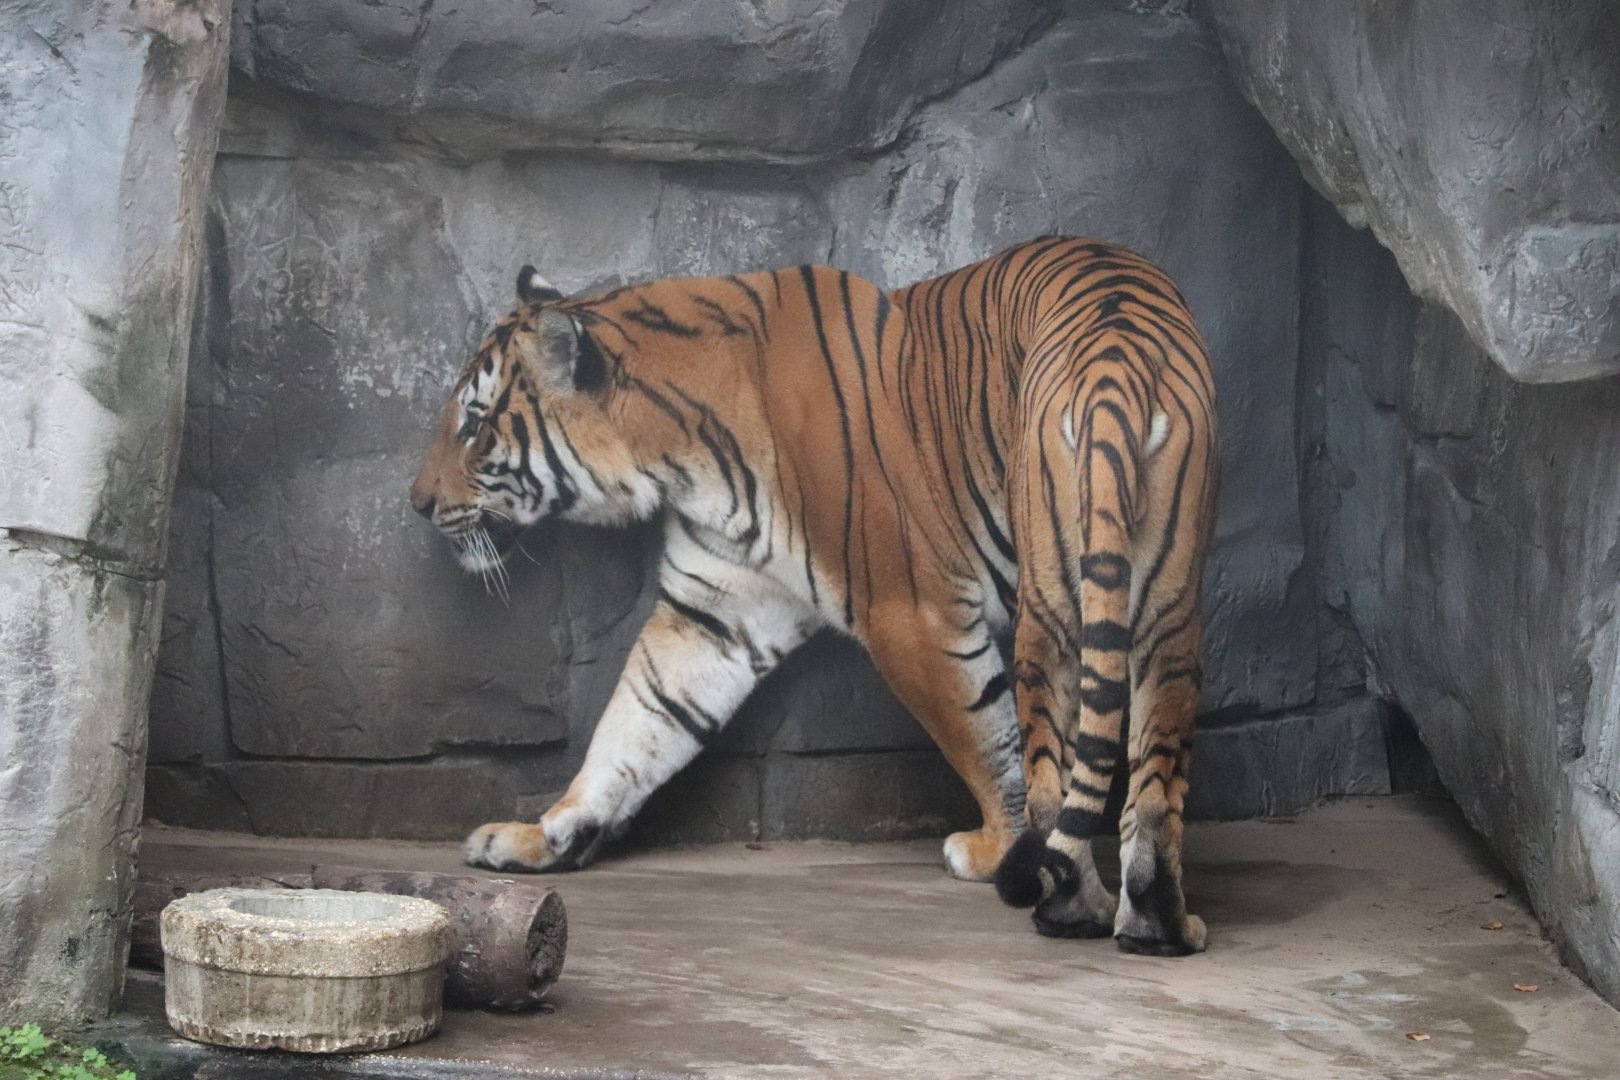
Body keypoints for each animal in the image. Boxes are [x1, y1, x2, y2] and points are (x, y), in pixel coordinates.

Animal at [409, 237, 1217, 955]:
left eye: (474, 425)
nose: (417, 503)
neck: (678, 455)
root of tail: (1118, 355)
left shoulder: (912, 612)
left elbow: (985, 739)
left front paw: (997, 847)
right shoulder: (713, 611)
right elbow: (637, 725)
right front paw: (546, 835)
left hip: (1052, 603)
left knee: (1059, 757)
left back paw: (1067, 900)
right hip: (1165, 599)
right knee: (1154, 778)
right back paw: (1157, 926)